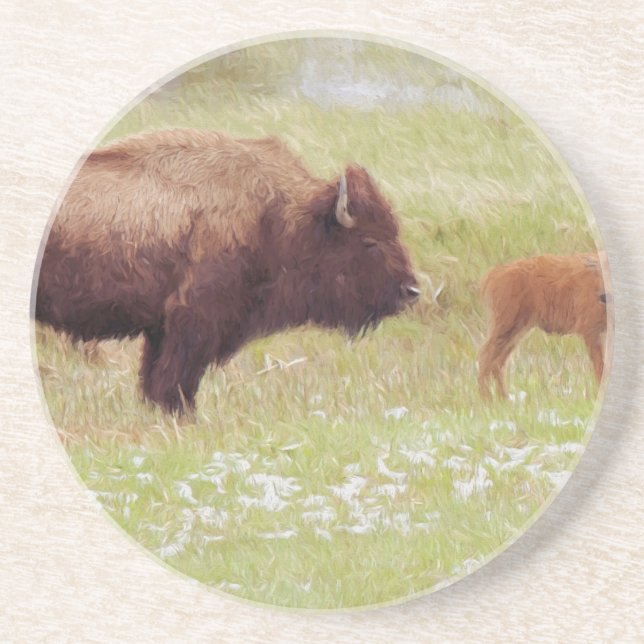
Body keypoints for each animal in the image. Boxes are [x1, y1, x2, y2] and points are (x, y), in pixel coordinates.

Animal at [36, 129, 420, 412]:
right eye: (369, 241)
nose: (411, 291)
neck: (279, 216)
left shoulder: (163, 329)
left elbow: (157, 377)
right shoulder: (193, 322)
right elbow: (173, 380)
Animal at [477, 253, 608, 399]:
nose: (603, 297)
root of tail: (492, 275)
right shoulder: (591, 329)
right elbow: (601, 367)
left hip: (517, 330)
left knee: (498, 361)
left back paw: (504, 398)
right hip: (506, 324)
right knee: (486, 356)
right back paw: (487, 399)